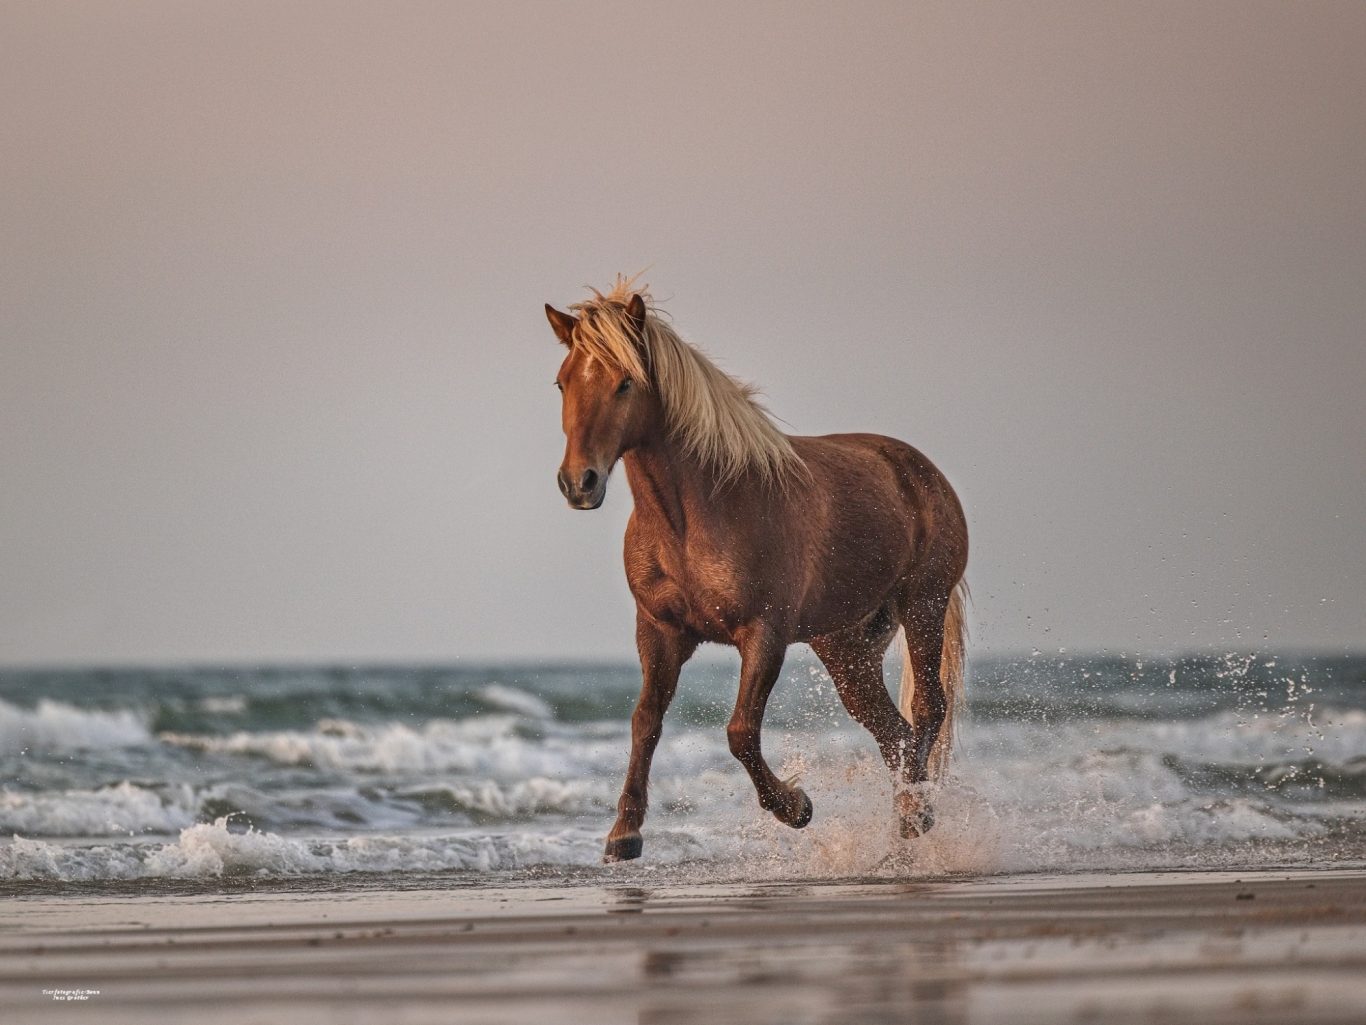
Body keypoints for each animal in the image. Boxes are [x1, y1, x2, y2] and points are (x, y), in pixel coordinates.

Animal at [546, 276, 969, 862]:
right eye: (563, 383)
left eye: (625, 382)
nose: (578, 483)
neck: (693, 517)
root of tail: (920, 471)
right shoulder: (658, 632)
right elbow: (645, 722)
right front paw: (623, 834)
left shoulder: (763, 635)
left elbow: (740, 732)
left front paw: (795, 807)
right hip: (846, 646)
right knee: (894, 733)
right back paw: (906, 822)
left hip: (922, 605)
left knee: (928, 709)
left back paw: (915, 816)